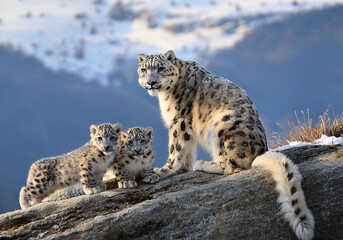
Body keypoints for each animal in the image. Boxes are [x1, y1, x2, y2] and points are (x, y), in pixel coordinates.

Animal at [136, 49, 314, 239]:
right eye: (144, 70)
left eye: (161, 68)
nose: (151, 82)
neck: (165, 96)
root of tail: (261, 150)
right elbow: (187, 149)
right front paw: (183, 168)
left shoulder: (180, 120)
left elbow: (175, 146)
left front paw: (163, 170)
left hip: (221, 124)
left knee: (229, 165)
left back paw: (203, 164)